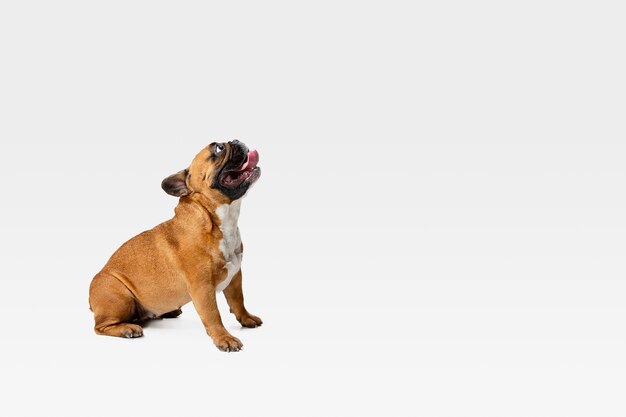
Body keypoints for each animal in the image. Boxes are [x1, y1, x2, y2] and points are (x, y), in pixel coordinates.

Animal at [88, 141, 260, 352]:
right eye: (218, 148)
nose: (236, 141)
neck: (218, 220)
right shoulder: (202, 287)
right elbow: (213, 314)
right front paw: (224, 338)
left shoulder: (235, 276)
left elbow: (238, 301)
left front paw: (246, 318)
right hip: (119, 296)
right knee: (101, 326)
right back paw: (127, 329)